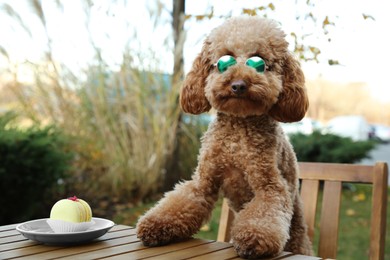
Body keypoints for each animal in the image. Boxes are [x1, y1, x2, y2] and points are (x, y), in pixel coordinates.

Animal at [136, 16, 312, 258]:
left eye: (259, 62)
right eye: (224, 61)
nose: (238, 85)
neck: (237, 132)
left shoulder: (270, 186)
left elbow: (264, 213)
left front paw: (253, 239)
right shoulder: (204, 181)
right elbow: (181, 202)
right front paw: (155, 224)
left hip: (296, 230)